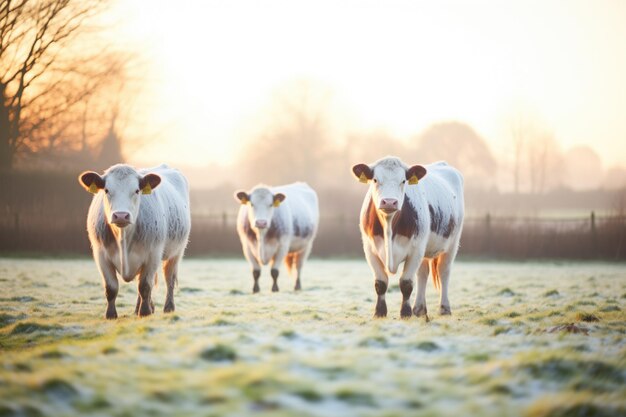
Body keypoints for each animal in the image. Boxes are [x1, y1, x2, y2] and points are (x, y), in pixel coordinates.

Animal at [78, 163, 190, 318]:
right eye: (106, 190)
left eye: (137, 190)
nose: (121, 215)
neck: (123, 238)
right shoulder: (101, 255)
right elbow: (111, 288)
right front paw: (111, 315)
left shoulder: (153, 254)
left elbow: (145, 286)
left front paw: (145, 312)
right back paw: (139, 308)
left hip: (176, 252)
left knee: (169, 279)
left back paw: (168, 307)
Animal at [352, 157, 464, 318]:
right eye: (375, 179)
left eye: (403, 180)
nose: (389, 202)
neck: (389, 225)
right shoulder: (369, 249)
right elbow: (380, 283)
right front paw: (379, 312)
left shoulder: (416, 250)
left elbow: (406, 283)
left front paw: (405, 313)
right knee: (422, 273)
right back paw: (419, 309)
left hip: (452, 244)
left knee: (444, 271)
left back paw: (444, 308)